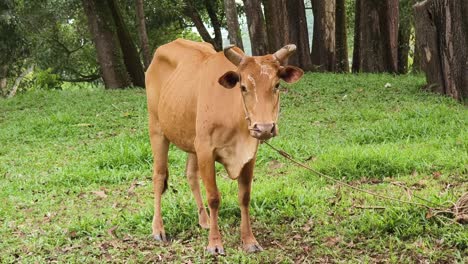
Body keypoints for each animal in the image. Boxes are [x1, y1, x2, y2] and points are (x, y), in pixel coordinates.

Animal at [148, 38, 306, 255]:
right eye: (243, 87)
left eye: (277, 85)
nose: (264, 128)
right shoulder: (206, 150)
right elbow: (214, 197)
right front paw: (214, 243)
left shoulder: (249, 155)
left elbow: (244, 196)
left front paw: (249, 240)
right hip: (157, 129)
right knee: (159, 176)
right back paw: (158, 229)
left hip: (191, 139)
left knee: (191, 175)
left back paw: (204, 220)